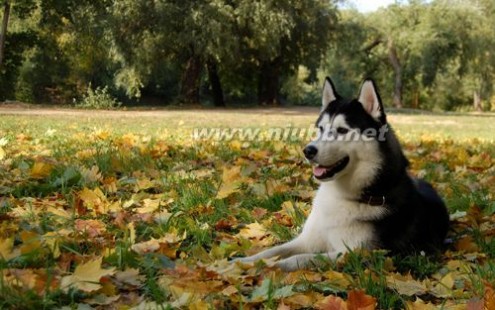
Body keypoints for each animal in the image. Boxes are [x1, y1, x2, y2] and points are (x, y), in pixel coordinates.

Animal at [235, 77, 450, 272]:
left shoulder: (357, 254)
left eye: (341, 130)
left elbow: (302, 258)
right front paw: (241, 262)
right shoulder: (307, 240)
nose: (307, 150)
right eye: (320, 129)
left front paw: (271, 267)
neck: (342, 196)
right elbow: (271, 251)